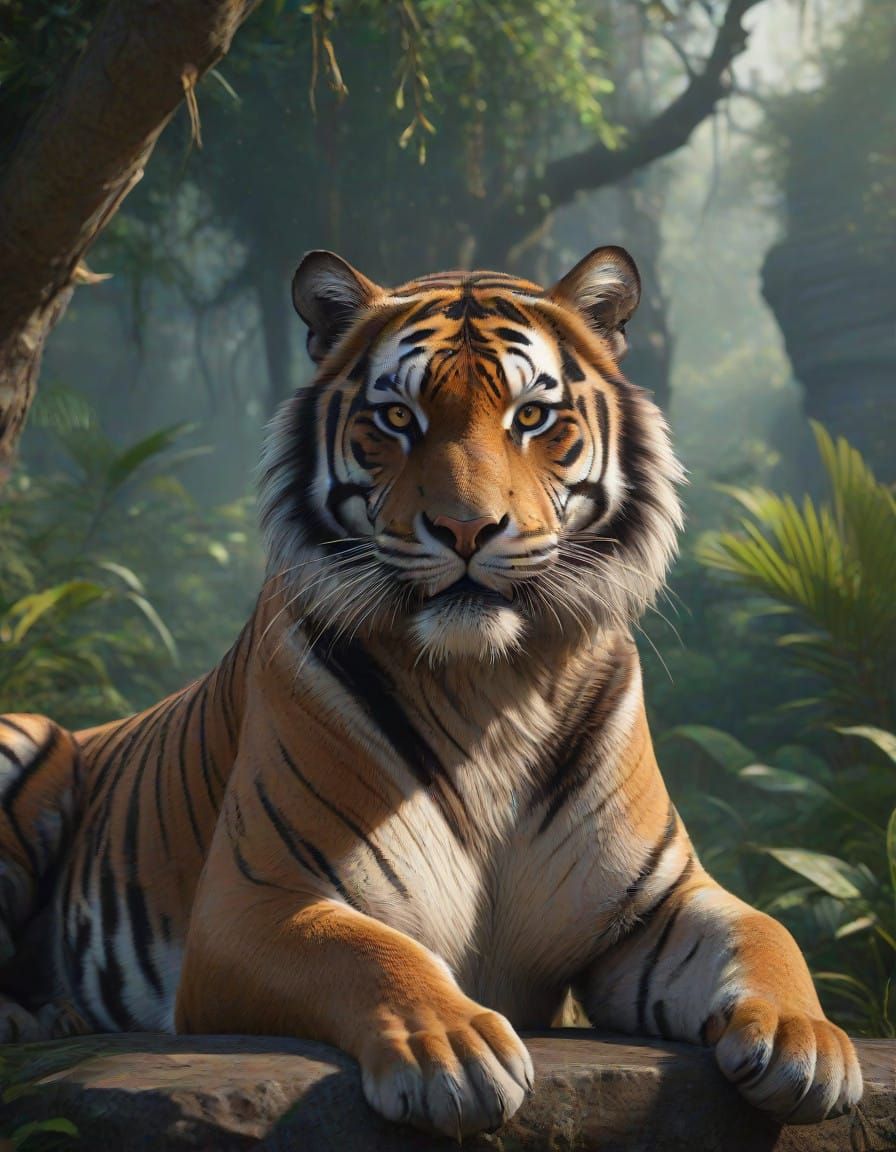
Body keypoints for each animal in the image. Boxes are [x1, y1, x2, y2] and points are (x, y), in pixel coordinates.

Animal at [0, 246, 862, 1138]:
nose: (466, 528)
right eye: (396, 418)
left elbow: (763, 932)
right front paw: (453, 1051)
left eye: (531, 417)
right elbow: (369, 951)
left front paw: (807, 1040)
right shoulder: (256, 899)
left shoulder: (655, 904)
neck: (492, 688)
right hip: (26, 740)